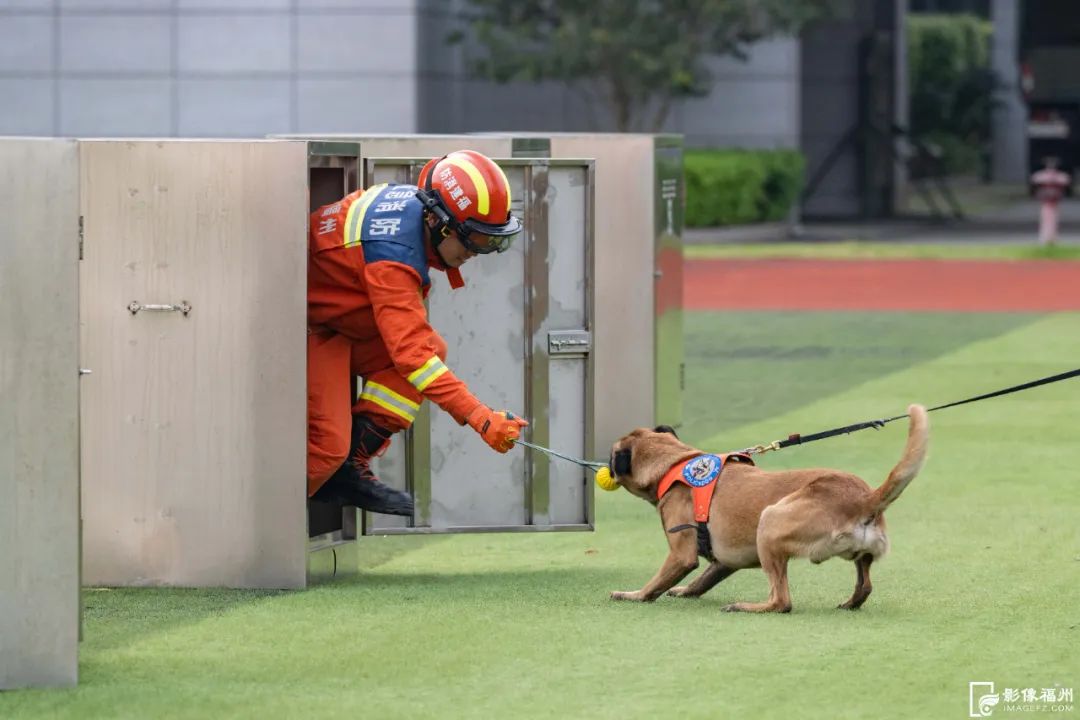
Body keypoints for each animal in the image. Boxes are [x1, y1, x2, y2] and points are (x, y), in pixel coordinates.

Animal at [609, 405, 928, 613]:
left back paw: (746, 606)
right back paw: (850, 603)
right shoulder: (723, 561)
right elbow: (702, 580)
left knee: (782, 602)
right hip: (858, 555)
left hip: (770, 522)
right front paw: (686, 591)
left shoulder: (680, 555)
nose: (605, 468)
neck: (675, 463)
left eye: (612, 457)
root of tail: (864, 498)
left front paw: (632, 595)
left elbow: (655, 584)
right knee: (864, 587)